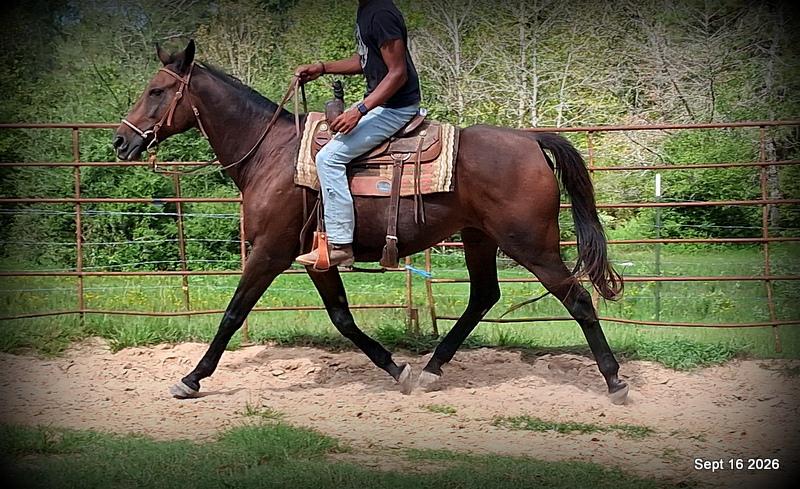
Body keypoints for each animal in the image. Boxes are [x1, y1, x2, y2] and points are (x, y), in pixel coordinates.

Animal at [113, 40, 628, 404]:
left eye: (156, 91)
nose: (120, 142)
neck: (270, 154)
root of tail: (531, 140)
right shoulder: (316, 258)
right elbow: (342, 316)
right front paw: (396, 369)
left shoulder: (270, 252)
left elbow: (233, 314)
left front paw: (191, 379)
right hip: (479, 237)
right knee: (484, 296)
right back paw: (430, 370)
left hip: (531, 244)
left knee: (578, 299)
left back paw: (614, 381)